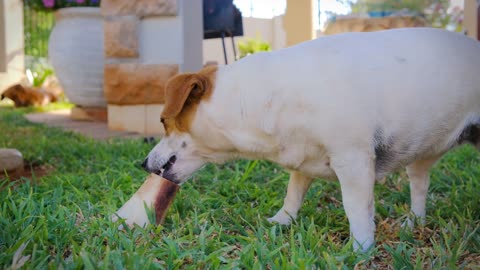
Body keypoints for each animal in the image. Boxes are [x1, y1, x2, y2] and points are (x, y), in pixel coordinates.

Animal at [142, 27, 480, 251]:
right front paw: (280, 221)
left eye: (163, 122)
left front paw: (360, 249)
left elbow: (356, 209)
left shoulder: (354, 160)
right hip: (422, 156)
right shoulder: (302, 158)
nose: (143, 163)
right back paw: (414, 222)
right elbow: (293, 194)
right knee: (419, 185)